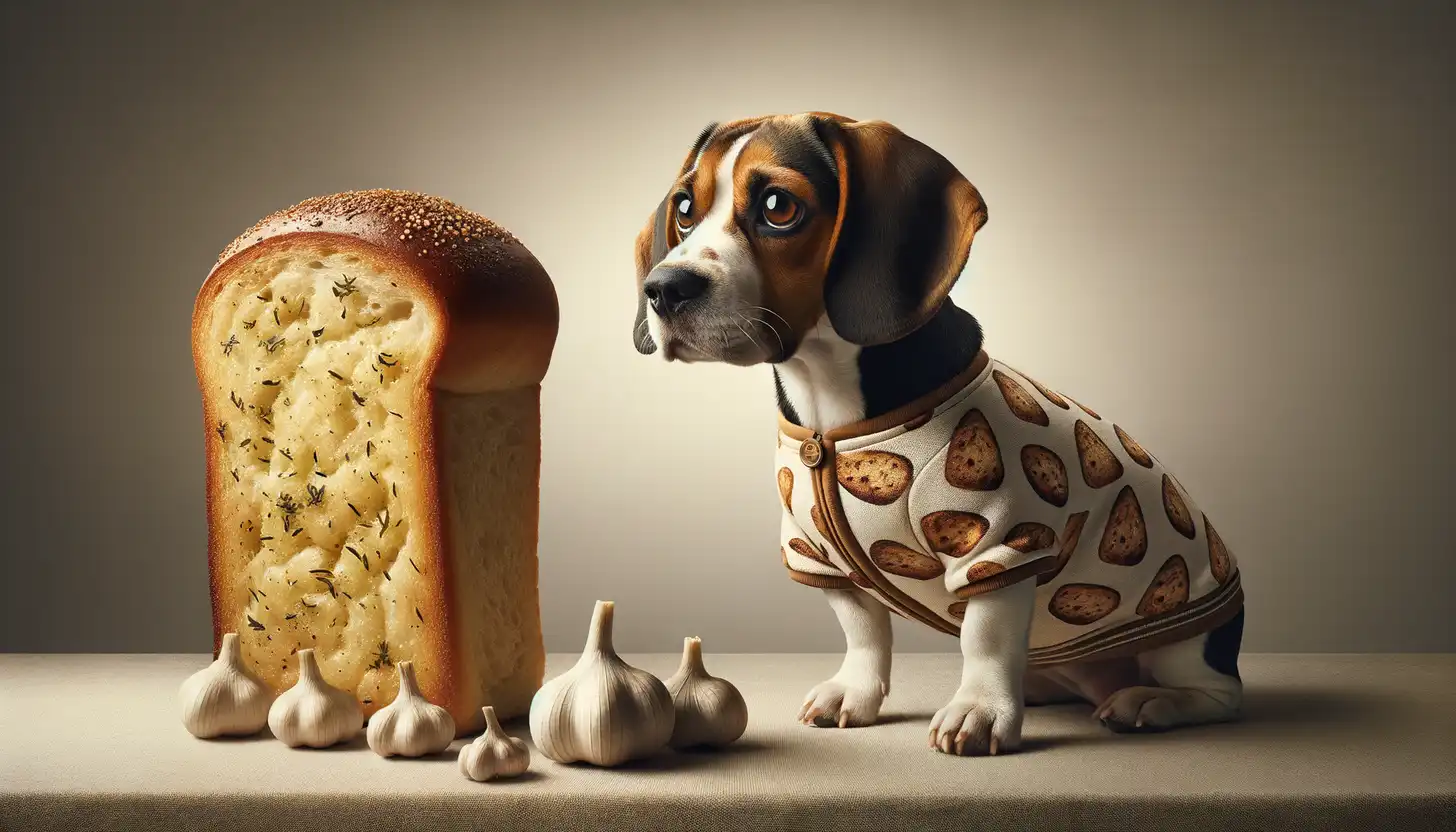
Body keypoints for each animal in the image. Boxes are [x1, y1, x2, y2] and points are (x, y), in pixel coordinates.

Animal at [631, 113, 1246, 757]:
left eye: (779, 207)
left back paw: (1148, 702)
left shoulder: (999, 543)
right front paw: (856, 693)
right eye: (683, 208)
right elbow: (863, 629)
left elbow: (986, 637)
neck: (831, 414)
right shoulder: (815, 551)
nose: (664, 287)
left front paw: (980, 710)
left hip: (1180, 632)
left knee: (1219, 694)